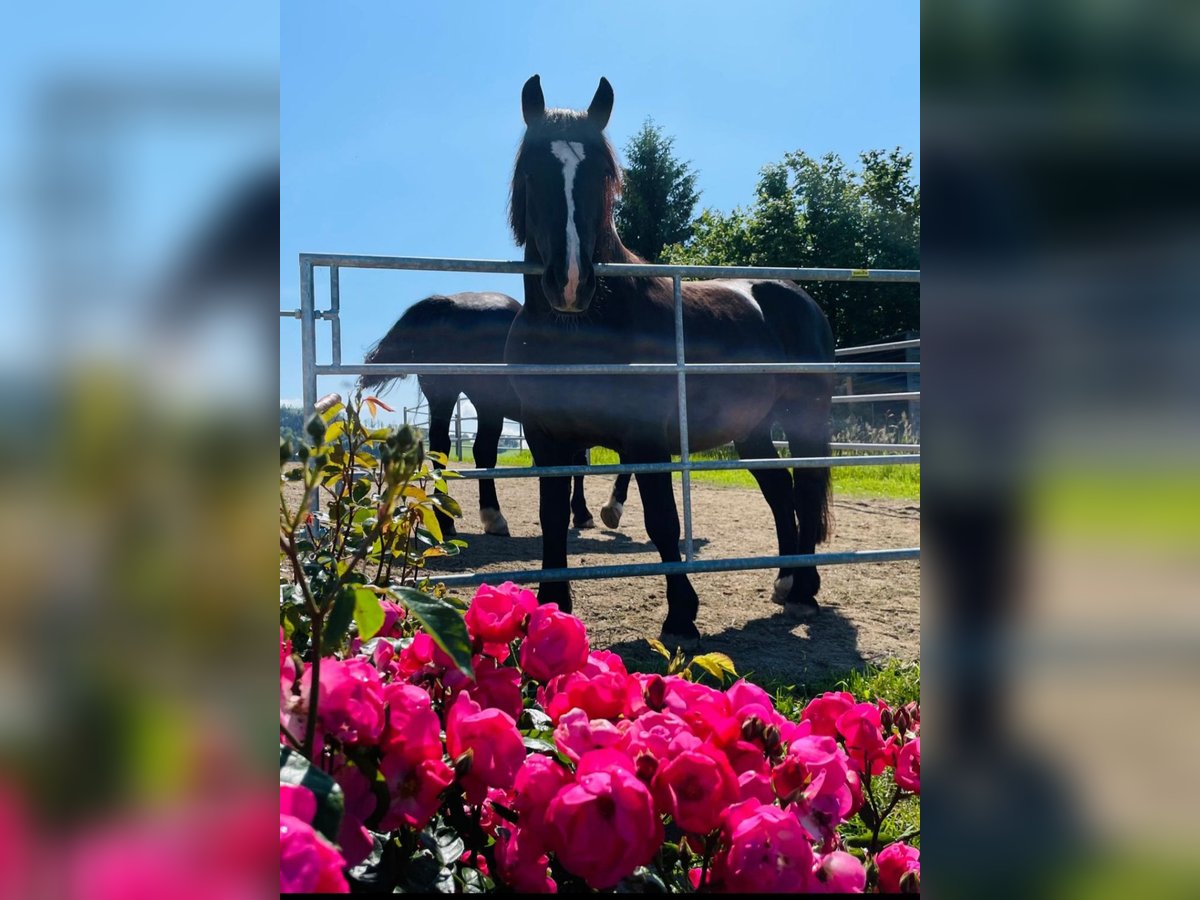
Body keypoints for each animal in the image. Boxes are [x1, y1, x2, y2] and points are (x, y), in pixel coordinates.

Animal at [357, 294, 633, 535]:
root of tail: (448, 305)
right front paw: (609, 510)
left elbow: (579, 465)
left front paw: (581, 513)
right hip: (483, 403)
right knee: (481, 451)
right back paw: (488, 518)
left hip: (442, 393)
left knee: (443, 448)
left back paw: (452, 520)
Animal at [506, 74, 835, 643]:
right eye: (531, 170)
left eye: (604, 174)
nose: (570, 283)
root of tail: (796, 296)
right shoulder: (547, 439)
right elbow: (551, 519)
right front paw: (552, 608)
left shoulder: (646, 439)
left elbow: (663, 520)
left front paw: (681, 617)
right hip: (751, 430)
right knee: (782, 494)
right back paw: (786, 582)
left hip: (805, 419)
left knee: (807, 489)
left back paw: (805, 592)